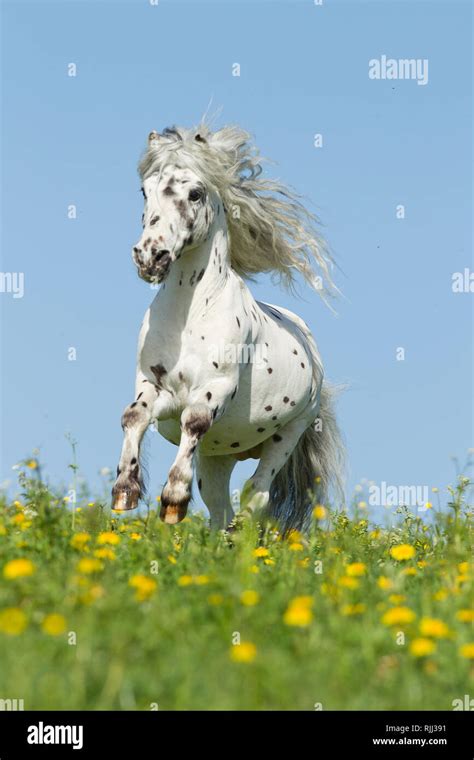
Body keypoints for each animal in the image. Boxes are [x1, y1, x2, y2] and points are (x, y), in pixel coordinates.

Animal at [111, 121, 344, 532]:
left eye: (195, 193)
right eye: (145, 190)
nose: (150, 256)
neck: (188, 315)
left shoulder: (213, 389)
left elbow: (194, 422)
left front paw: (173, 499)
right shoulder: (155, 386)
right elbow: (134, 414)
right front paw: (125, 490)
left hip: (289, 433)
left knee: (256, 494)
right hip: (218, 455)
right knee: (220, 507)